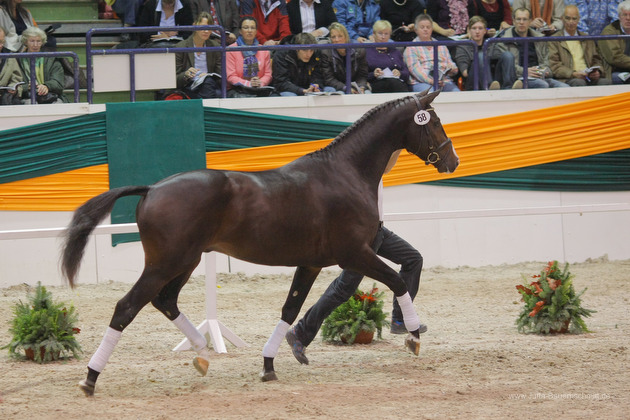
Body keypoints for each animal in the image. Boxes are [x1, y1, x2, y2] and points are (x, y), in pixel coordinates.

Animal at [63, 90, 460, 396]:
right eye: (434, 121)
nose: (453, 161)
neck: (344, 174)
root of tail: (152, 189)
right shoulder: (355, 254)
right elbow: (396, 281)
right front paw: (413, 336)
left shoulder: (311, 263)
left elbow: (290, 310)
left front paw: (268, 365)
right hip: (165, 264)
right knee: (126, 308)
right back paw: (90, 378)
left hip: (185, 262)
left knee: (165, 301)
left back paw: (201, 352)